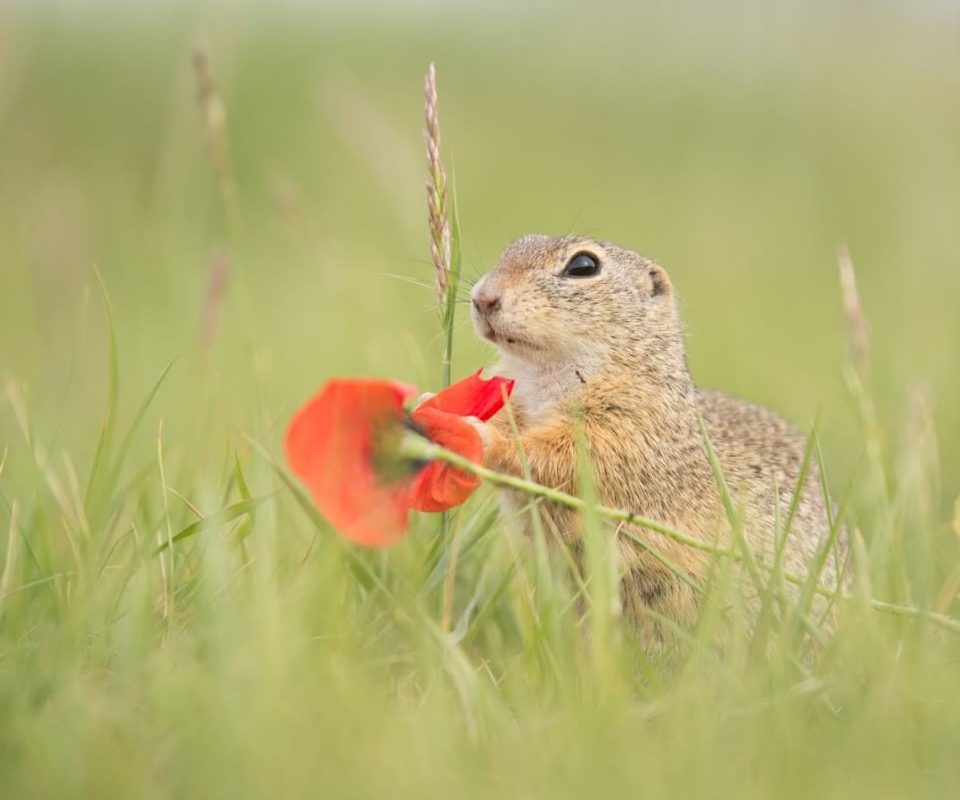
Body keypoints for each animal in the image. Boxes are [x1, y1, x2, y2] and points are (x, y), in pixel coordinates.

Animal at [470, 234, 840, 648]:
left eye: (583, 266)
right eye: (513, 246)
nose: (483, 297)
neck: (543, 378)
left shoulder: (629, 428)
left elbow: (562, 457)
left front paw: (485, 440)